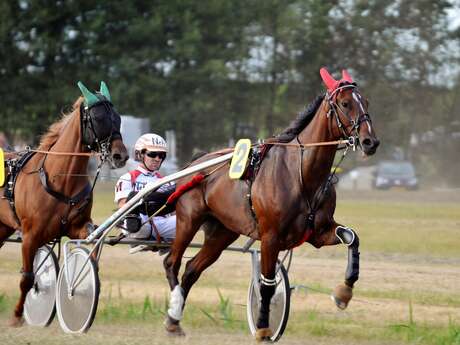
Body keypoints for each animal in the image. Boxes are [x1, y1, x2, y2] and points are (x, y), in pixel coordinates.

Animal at [0, 81, 127, 326]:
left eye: (117, 118)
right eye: (98, 118)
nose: (120, 156)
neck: (60, 179)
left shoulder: (78, 227)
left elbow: (90, 252)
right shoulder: (30, 235)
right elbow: (27, 278)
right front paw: (18, 315)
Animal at [164, 68, 380, 338]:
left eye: (367, 102)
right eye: (345, 103)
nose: (371, 142)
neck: (301, 174)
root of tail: (196, 163)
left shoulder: (318, 233)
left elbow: (351, 237)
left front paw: (344, 292)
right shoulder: (271, 237)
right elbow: (267, 285)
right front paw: (264, 328)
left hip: (223, 232)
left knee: (192, 269)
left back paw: (174, 319)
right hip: (188, 219)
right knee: (172, 262)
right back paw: (174, 308)